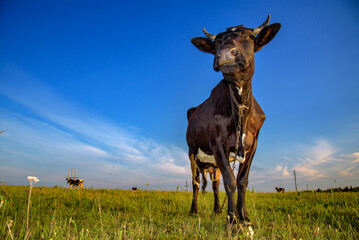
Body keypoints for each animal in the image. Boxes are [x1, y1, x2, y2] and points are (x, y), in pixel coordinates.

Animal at [187, 15, 282, 229]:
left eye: (249, 36)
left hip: (213, 163)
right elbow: (230, 182)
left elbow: (242, 181)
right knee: (195, 183)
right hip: (192, 155)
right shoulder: (217, 145)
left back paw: (217, 209)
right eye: (217, 42)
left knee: (214, 184)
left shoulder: (253, 144)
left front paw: (244, 218)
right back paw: (193, 210)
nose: (224, 54)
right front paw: (232, 220)